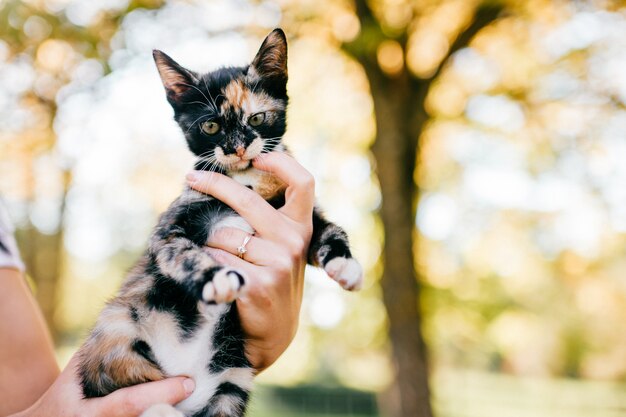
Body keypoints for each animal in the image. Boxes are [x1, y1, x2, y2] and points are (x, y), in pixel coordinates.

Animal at [77, 30, 360, 416]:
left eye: (256, 119)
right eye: (210, 125)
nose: (236, 147)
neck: (247, 181)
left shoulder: (300, 214)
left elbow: (331, 229)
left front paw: (346, 265)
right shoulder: (169, 230)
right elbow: (185, 254)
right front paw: (217, 277)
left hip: (233, 378)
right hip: (116, 333)